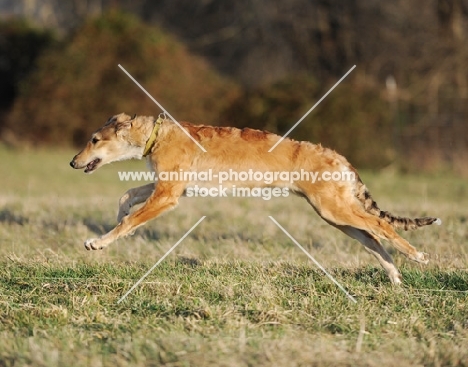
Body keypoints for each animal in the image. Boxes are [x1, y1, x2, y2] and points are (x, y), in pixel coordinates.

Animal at [68, 113, 438, 286]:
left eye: (94, 139)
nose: (72, 162)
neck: (157, 135)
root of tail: (338, 156)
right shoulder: (170, 188)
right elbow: (127, 194)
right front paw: (117, 216)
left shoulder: (168, 195)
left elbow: (131, 220)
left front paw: (99, 242)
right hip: (335, 215)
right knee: (373, 238)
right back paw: (394, 277)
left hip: (335, 210)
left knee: (381, 227)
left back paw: (417, 256)